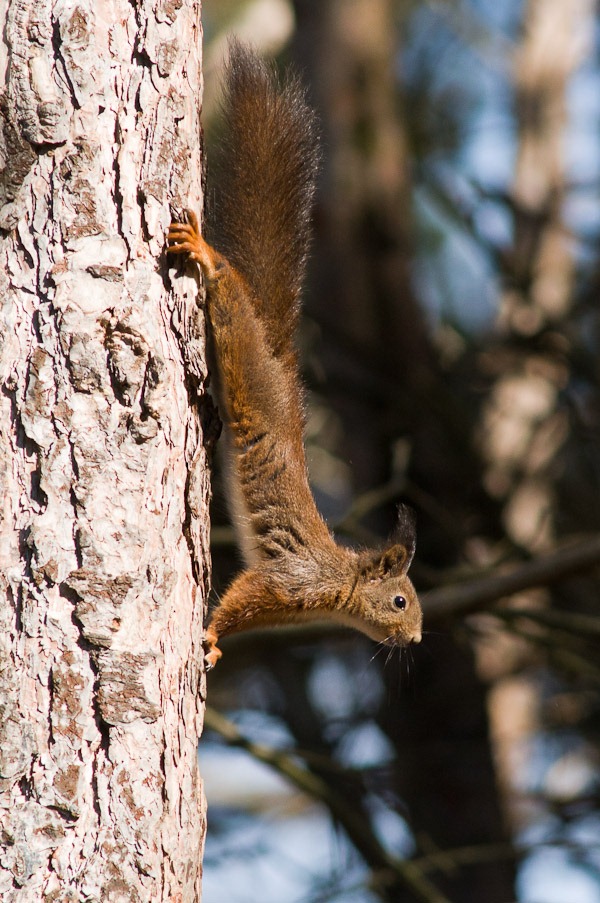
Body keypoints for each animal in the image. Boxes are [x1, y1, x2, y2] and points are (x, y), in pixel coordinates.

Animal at [166, 40, 424, 664]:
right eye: (400, 601)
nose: (416, 638)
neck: (340, 585)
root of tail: (281, 366)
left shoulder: (285, 604)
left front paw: (215, 647)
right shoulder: (291, 580)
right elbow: (244, 593)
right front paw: (212, 635)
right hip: (244, 354)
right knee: (229, 292)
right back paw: (206, 254)